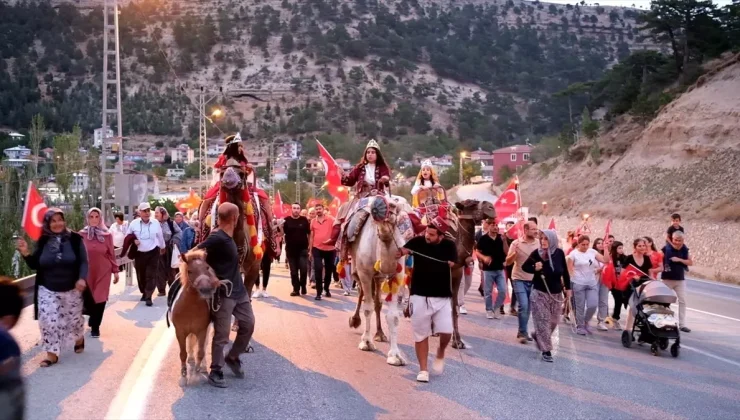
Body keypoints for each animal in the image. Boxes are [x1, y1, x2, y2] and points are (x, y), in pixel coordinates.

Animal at [171, 249, 223, 388]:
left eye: (207, 267)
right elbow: (182, 354)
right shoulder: (180, 331)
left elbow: (201, 351)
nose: (206, 289)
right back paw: (191, 359)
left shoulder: (202, 331)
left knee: (204, 346)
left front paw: (195, 375)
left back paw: (203, 367)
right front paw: (183, 377)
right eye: (190, 271)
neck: (190, 307)